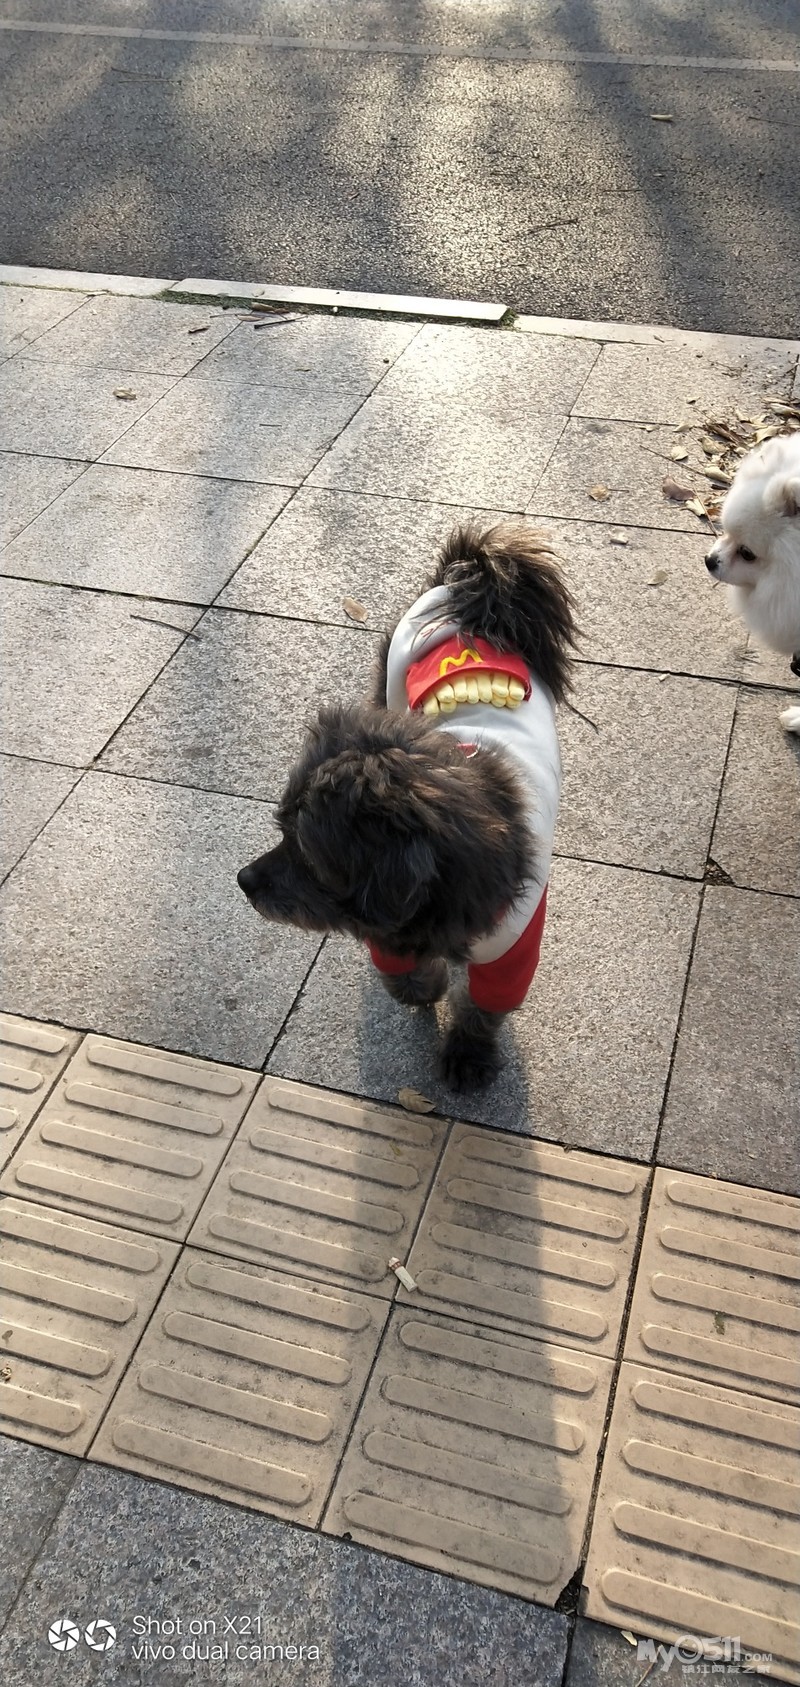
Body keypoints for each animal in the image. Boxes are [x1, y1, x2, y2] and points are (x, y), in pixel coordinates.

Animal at [237, 521, 577, 1090]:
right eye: (281, 829)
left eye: (307, 854)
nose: (244, 880)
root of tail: (467, 589)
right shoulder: (385, 926)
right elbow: (409, 976)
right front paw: (429, 988)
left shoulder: (515, 943)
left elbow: (483, 1006)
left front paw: (468, 1054)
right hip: (391, 682)